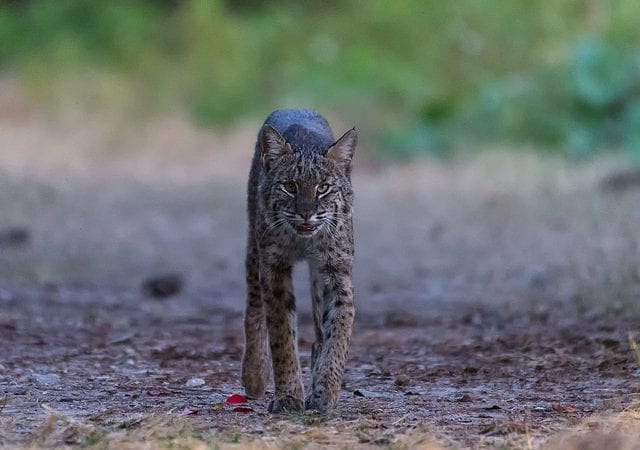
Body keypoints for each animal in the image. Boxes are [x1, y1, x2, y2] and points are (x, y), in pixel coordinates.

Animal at [242, 108, 358, 412]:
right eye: (290, 186)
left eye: (324, 188)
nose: (306, 214)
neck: (304, 239)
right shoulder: (274, 267)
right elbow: (282, 336)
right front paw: (288, 397)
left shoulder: (336, 269)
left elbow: (339, 331)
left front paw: (326, 390)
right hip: (254, 244)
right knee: (253, 305)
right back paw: (255, 374)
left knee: (319, 329)